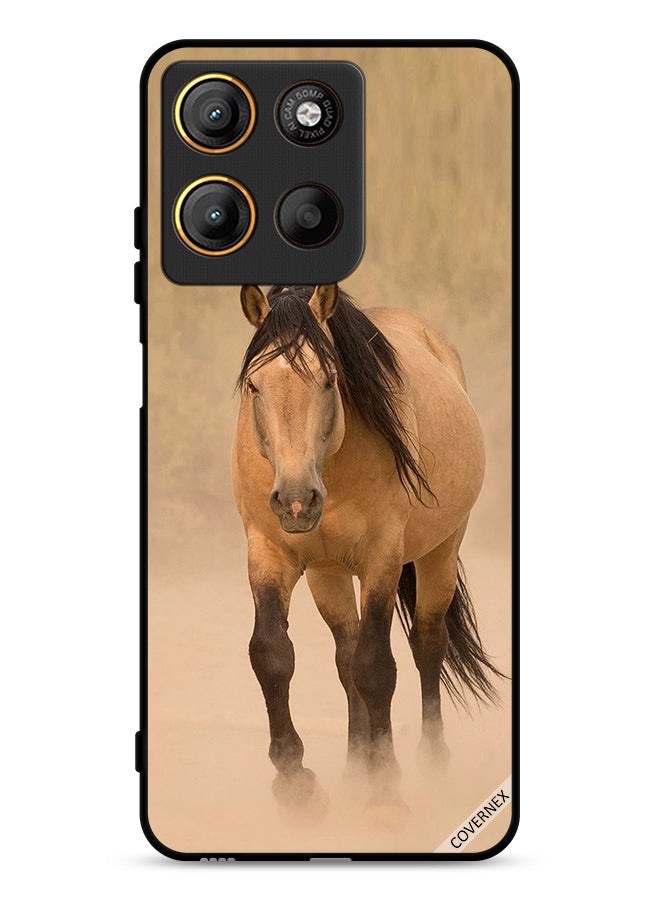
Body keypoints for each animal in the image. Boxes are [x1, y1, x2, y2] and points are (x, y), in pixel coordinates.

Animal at [231, 282, 501, 820]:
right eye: (254, 385)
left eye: (330, 379)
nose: (296, 500)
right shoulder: (269, 553)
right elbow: (272, 654)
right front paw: (295, 781)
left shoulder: (382, 559)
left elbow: (377, 667)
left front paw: (386, 787)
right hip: (328, 574)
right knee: (345, 655)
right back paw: (356, 768)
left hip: (440, 551)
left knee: (426, 644)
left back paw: (430, 763)